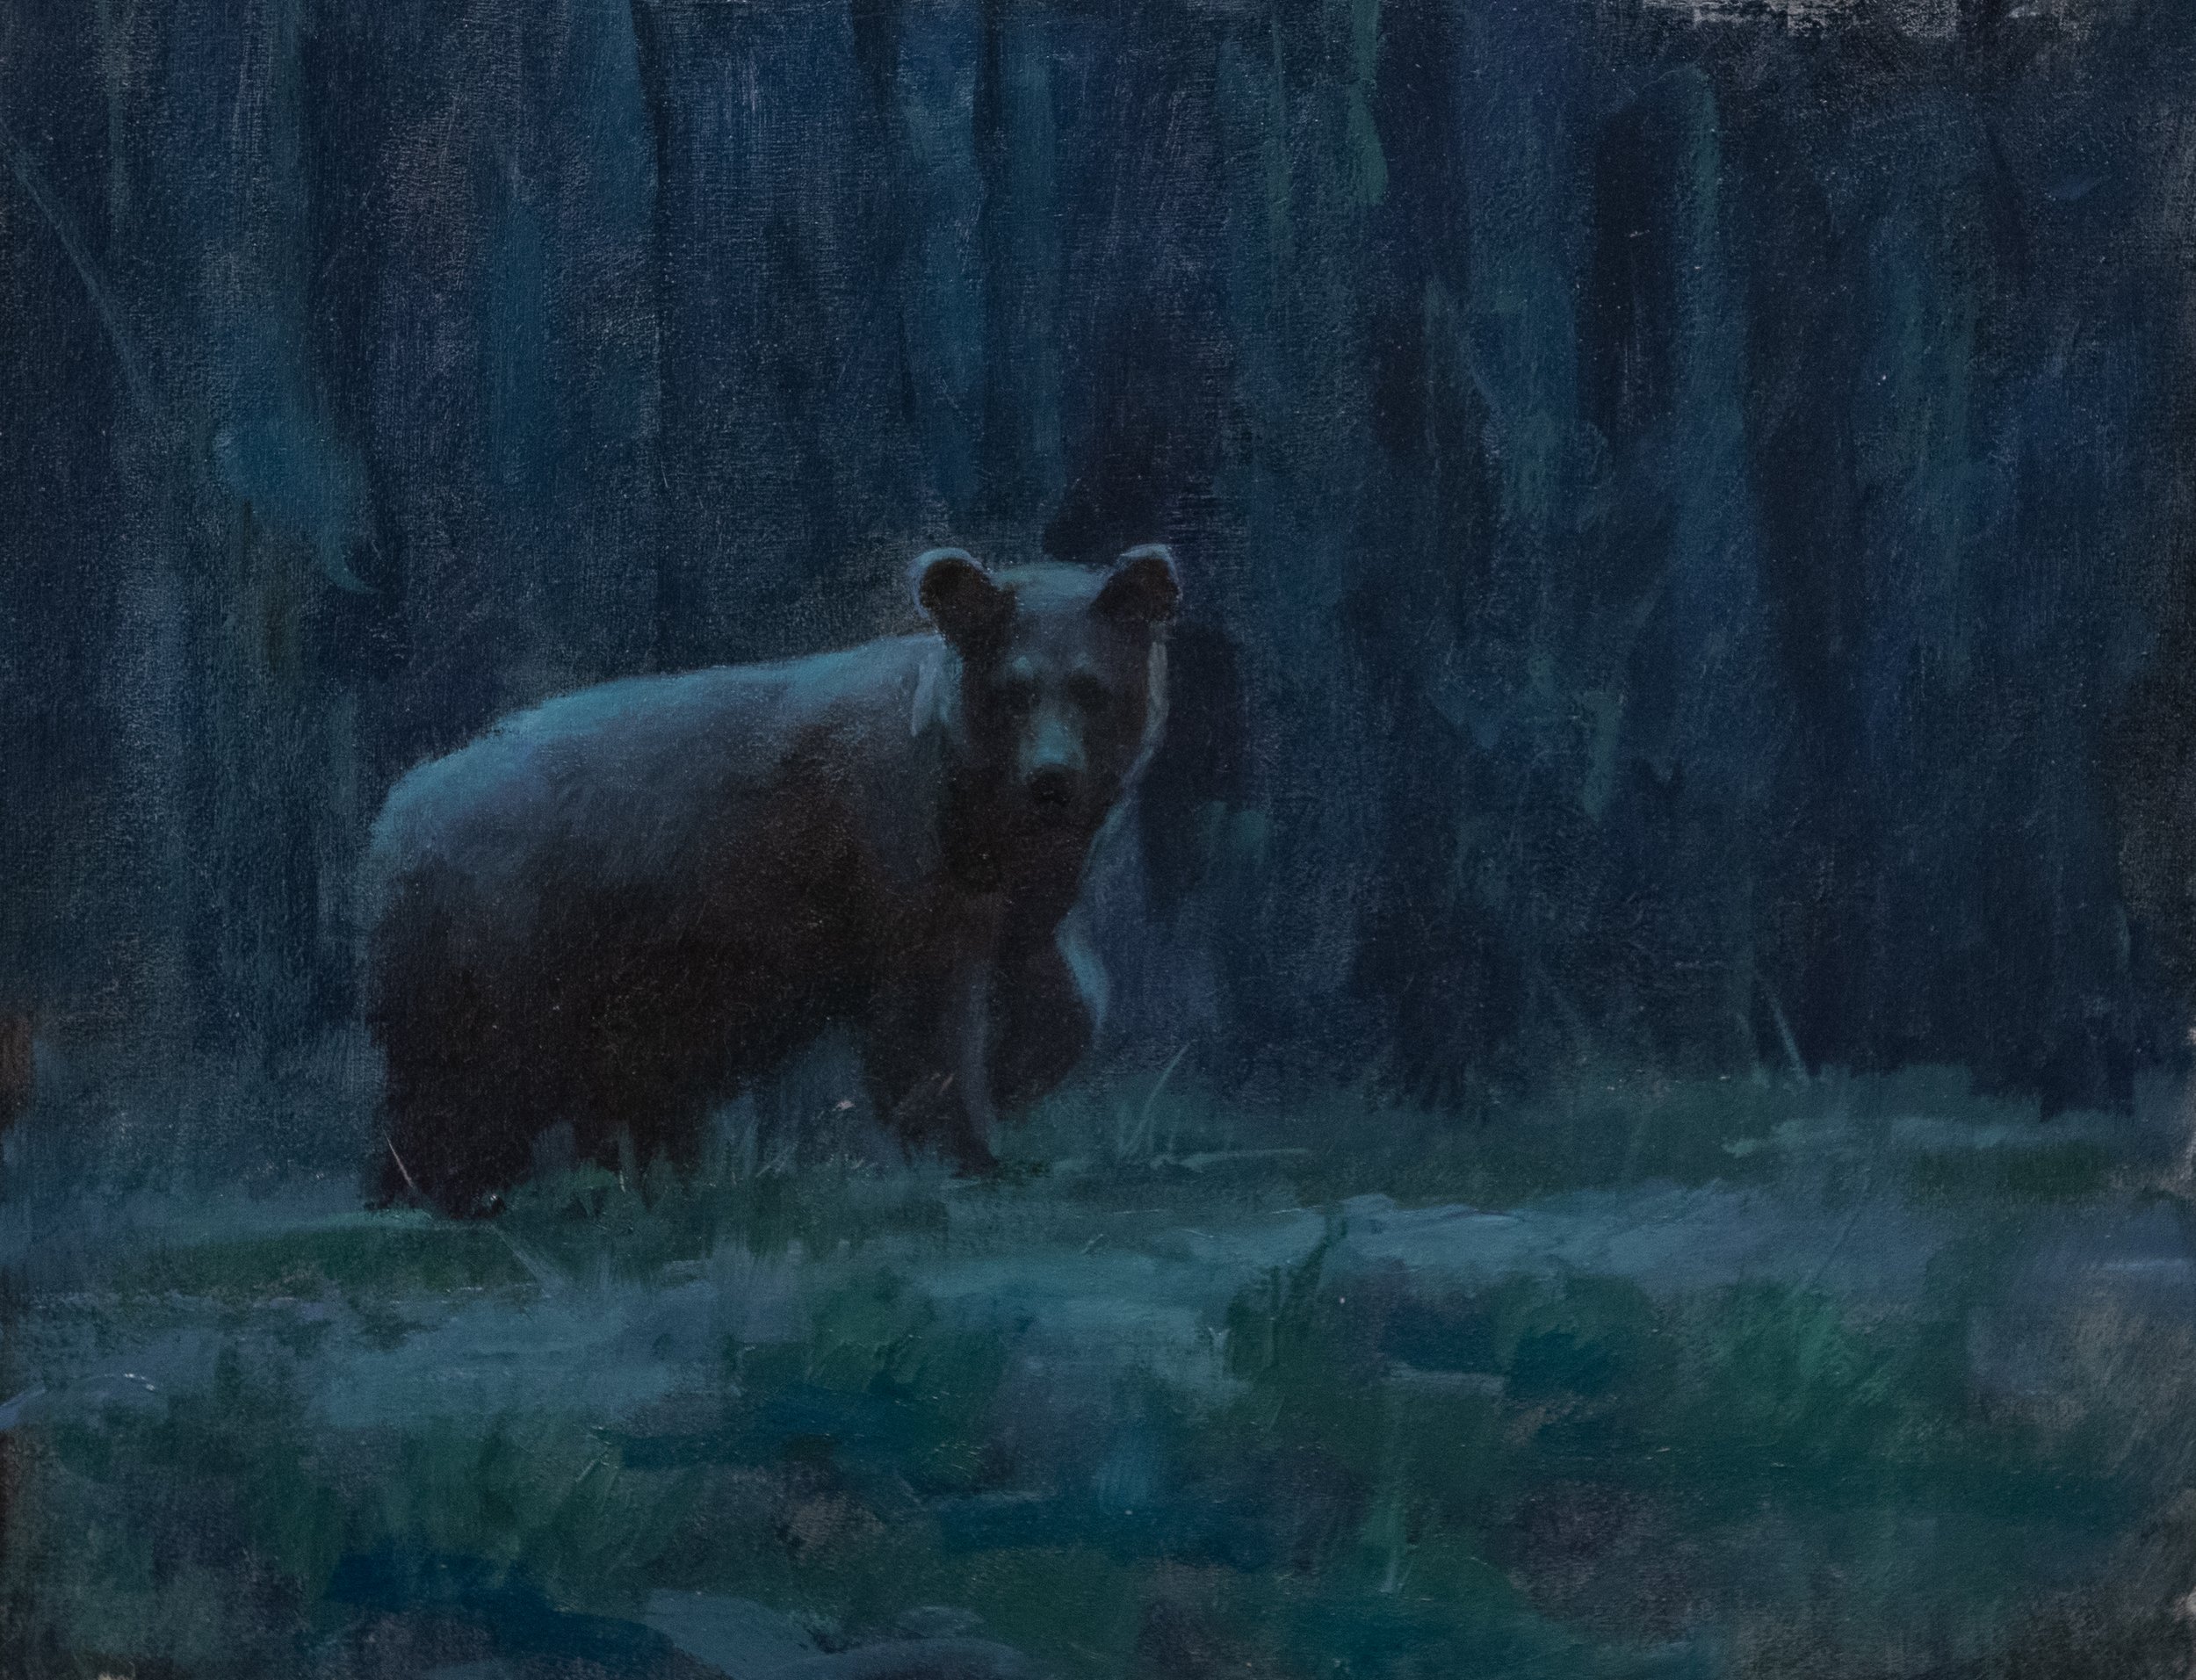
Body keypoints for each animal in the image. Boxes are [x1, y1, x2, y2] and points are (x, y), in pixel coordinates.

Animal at [362, 543, 1180, 1215]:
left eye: (1091, 688)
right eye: (1015, 690)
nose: (1052, 781)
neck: (979, 814)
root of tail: (398, 808)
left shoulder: (1026, 890)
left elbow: (1063, 990)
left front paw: (1015, 1080)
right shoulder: (896, 856)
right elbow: (927, 1017)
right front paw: (967, 1146)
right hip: (509, 936)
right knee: (465, 1084)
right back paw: (448, 1190)